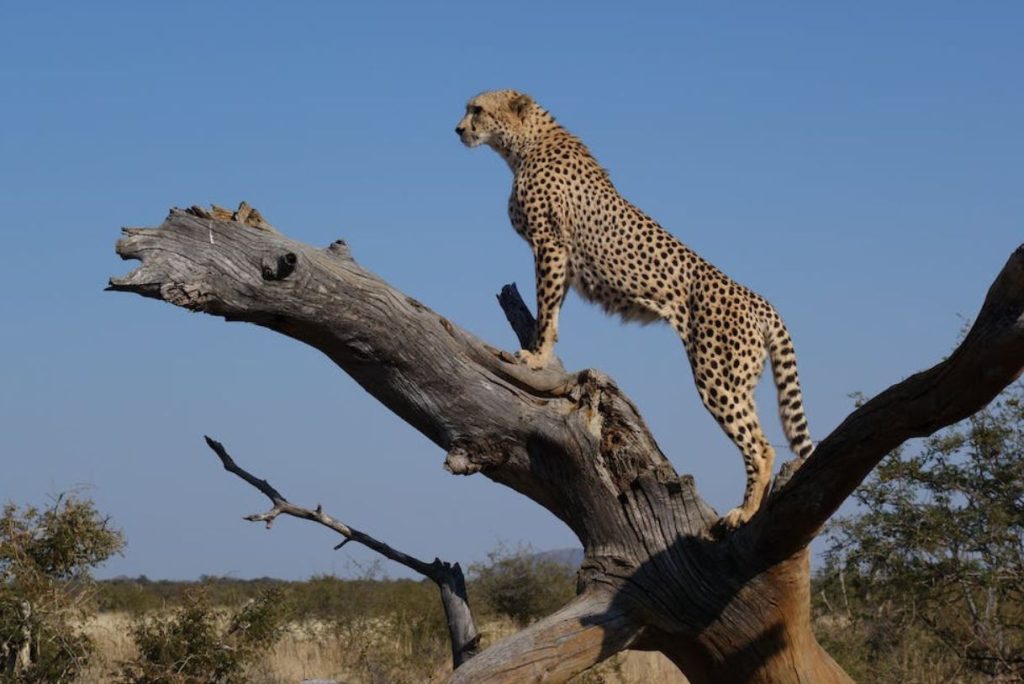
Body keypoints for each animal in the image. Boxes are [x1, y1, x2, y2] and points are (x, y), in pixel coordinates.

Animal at [456, 89, 815, 528]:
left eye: (477, 110)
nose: (458, 129)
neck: (524, 145)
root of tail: (760, 300)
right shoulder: (561, 257)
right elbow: (552, 312)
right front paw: (542, 351)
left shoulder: (550, 246)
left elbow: (546, 308)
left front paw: (536, 357)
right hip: (740, 379)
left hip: (718, 376)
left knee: (761, 446)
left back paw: (743, 512)